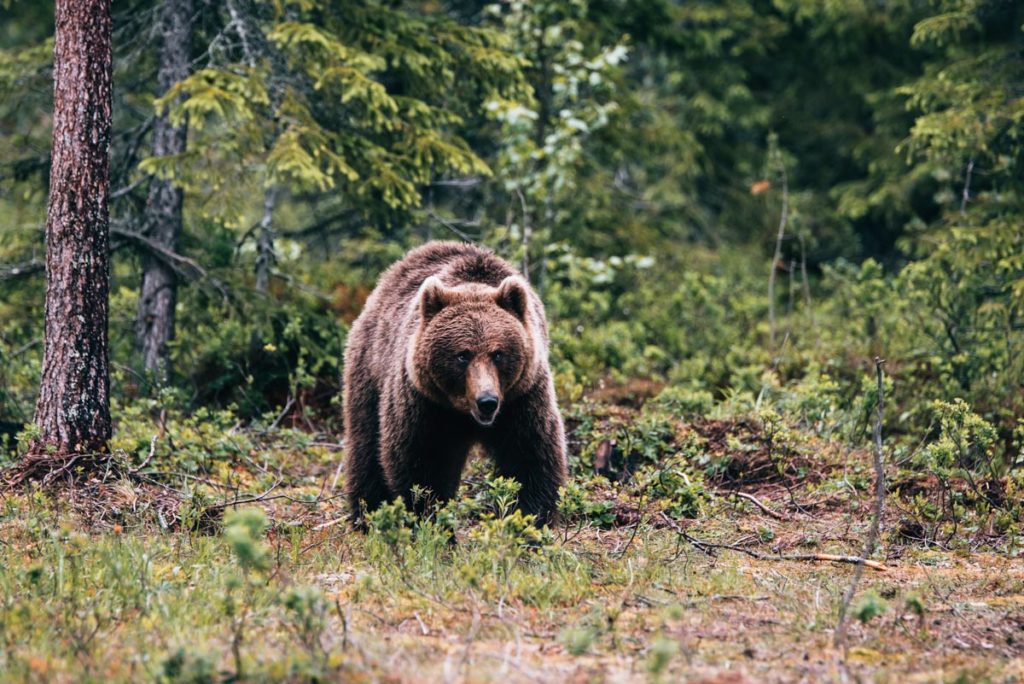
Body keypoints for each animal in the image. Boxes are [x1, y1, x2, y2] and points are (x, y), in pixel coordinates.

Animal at [344, 242, 569, 528]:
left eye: (498, 353)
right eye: (462, 355)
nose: (487, 401)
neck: (463, 415)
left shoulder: (522, 398)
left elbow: (531, 457)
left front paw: (529, 522)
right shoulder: (425, 404)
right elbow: (423, 467)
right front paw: (433, 524)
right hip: (370, 371)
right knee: (366, 446)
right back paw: (367, 515)